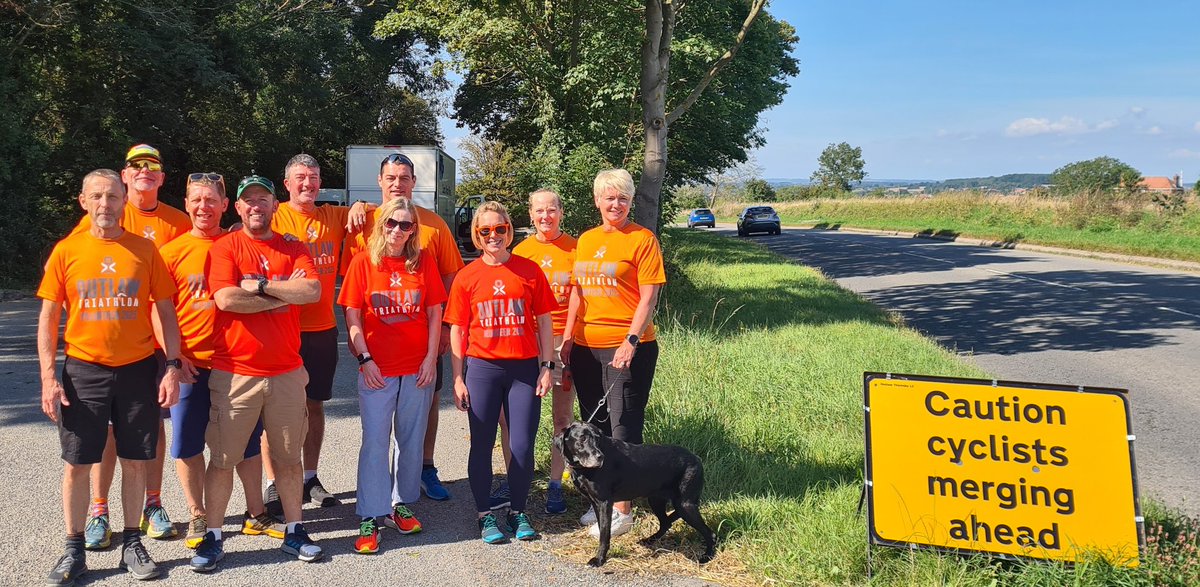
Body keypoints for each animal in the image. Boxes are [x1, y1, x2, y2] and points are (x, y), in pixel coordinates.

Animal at [549, 420, 710, 566]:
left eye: (598, 439)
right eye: (582, 438)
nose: (600, 457)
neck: (583, 469)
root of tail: (697, 459)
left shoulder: (604, 503)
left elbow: (604, 534)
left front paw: (600, 559)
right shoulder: (595, 503)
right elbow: (602, 529)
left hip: (685, 506)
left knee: (710, 533)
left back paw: (706, 557)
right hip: (657, 500)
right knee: (666, 523)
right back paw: (650, 540)